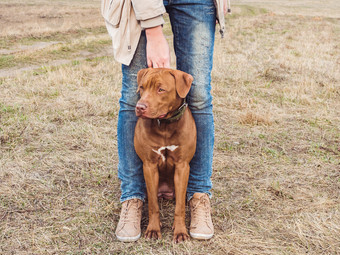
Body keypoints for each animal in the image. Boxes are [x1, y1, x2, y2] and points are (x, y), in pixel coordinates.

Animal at [133, 66, 197, 242]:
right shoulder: (149, 166)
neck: (165, 126)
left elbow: (179, 207)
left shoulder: (182, 167)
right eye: (142, 87)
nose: (140, 107)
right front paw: (153, 229)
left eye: (160, 89)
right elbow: (153, 205)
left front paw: (180, 231)